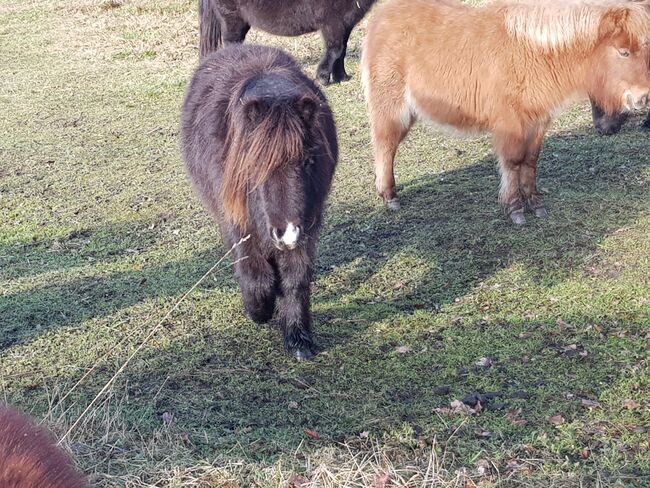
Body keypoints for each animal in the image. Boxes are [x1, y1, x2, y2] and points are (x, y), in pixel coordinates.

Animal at [180, 43, 336, 360]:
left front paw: (298, 340)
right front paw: (260, 311)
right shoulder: (239, 223)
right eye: (254, 166)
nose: (287, 233)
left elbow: (296, 279)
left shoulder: (308, 226)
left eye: (308, 161)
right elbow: (255, 275)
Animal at [196, 0, 374, 84]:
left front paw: (342, 77)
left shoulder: (345, 24)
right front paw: (322, 78)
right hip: (233, 19)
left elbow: (341, 51)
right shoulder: (333, 24)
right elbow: (335, 50)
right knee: (231, 44)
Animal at [362, 0, 648, 224]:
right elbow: (512, 161)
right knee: (385, 145)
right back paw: (389, 196)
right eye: (623, 52)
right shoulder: (509, 122)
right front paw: (515, 208)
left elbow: (530, 161)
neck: (532, 54)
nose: (643, 98)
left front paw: (535, 203)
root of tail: (380, 17)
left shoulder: (538, 121)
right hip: (391, 108)